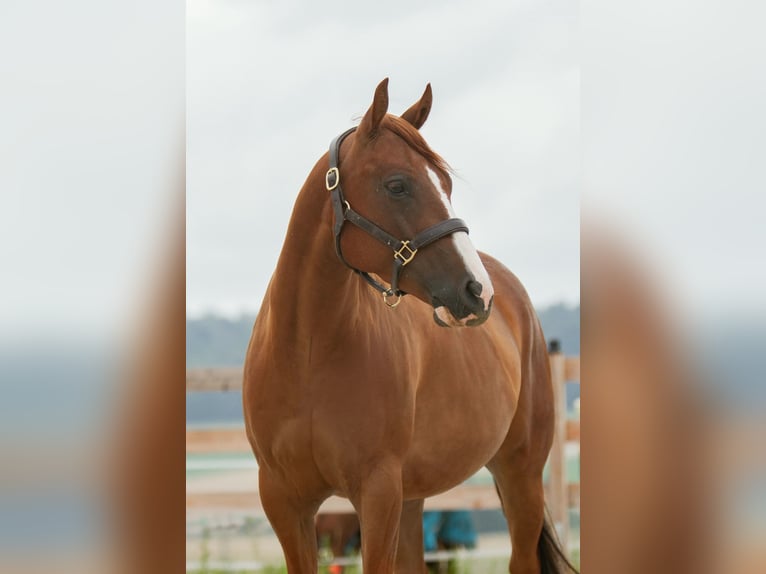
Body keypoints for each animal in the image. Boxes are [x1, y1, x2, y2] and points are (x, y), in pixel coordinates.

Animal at [243, 78, 576, 574]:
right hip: (414, 498)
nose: (477, 291)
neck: (308, 352)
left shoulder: (377, 493)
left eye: (447, 183)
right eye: (397, 185)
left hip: (521, 473)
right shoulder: (286, 502)